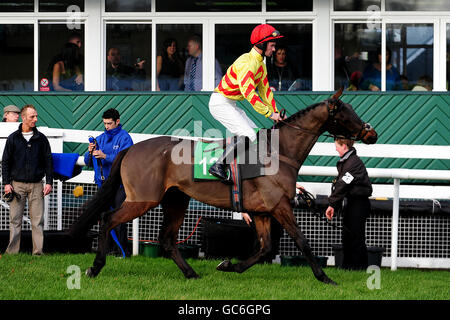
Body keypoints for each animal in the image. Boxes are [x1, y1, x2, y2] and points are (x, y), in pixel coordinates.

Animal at [70, 89, 378, 284]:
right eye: (346, 113)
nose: (371, 133)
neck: (279, 153)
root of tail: (131, 148)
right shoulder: (280, 207)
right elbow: (302, 242)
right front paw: (325, 277)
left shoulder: (262, 211)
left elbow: (265, 247)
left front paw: (229, 265)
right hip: (142, 199)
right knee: (108, 218)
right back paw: (95, 268)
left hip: (176, 200)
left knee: (167, 239)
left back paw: (191, 273)